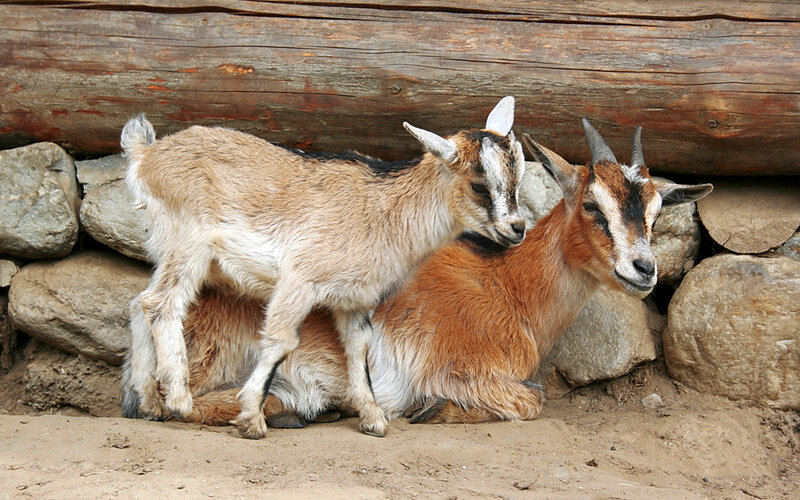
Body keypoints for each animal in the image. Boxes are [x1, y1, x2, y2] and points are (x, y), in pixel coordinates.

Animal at [120, 97, 528, 438]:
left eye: (517, 179)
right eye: (478, 186)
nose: (517, 228)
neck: (383, 211)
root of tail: (148, 154)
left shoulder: (354, 300)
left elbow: (359, 350)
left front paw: (373, 420)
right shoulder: (299, 278)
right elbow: (281, 339)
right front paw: (251, 418)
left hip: (167, 248)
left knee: (140, 303)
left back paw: (150, 403)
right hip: (189, 243)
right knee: (161, 303)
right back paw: (178, 398)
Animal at [124, 119, 712, 426]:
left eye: (655, 211)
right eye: (592, 205)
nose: (643, 269)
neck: (510, 289)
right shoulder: (460, 370)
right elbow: (532, 400)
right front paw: (429, 410)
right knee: (185, 395)